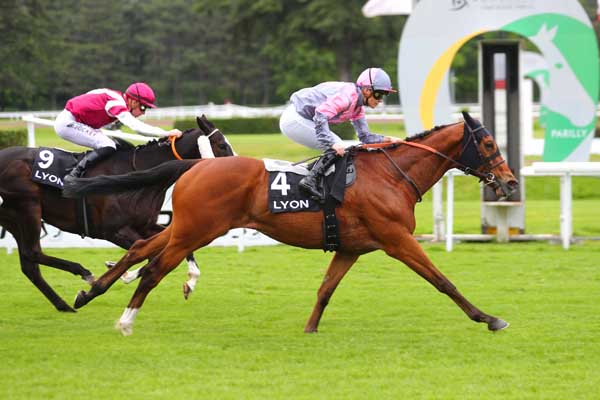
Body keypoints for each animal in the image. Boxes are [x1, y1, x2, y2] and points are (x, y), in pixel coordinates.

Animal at [0, 115, 233, 312]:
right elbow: (148, 254)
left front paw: (190, 281)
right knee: (33, 252)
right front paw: (119, 275)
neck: (137, 174)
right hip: (28, 208)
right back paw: (83, 272)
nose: (234, 168)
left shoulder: (145, 224)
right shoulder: (114, 231)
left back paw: (63, 305)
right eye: (222, 145)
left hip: (13, 217)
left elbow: (177, 248)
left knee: (29, 264)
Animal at [68, 111, 516, 334]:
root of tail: (195, 164)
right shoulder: (397, 239)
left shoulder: (352, 247)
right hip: (197, 230)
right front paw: (489, 318)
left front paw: (310, 329)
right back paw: (125, 321)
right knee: (155, 269)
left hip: (185, 228)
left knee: (140, 249)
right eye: (488, 143)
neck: (391, 175)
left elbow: (325, 289)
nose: (510, 182)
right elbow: (442, 280)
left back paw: (89, 291)